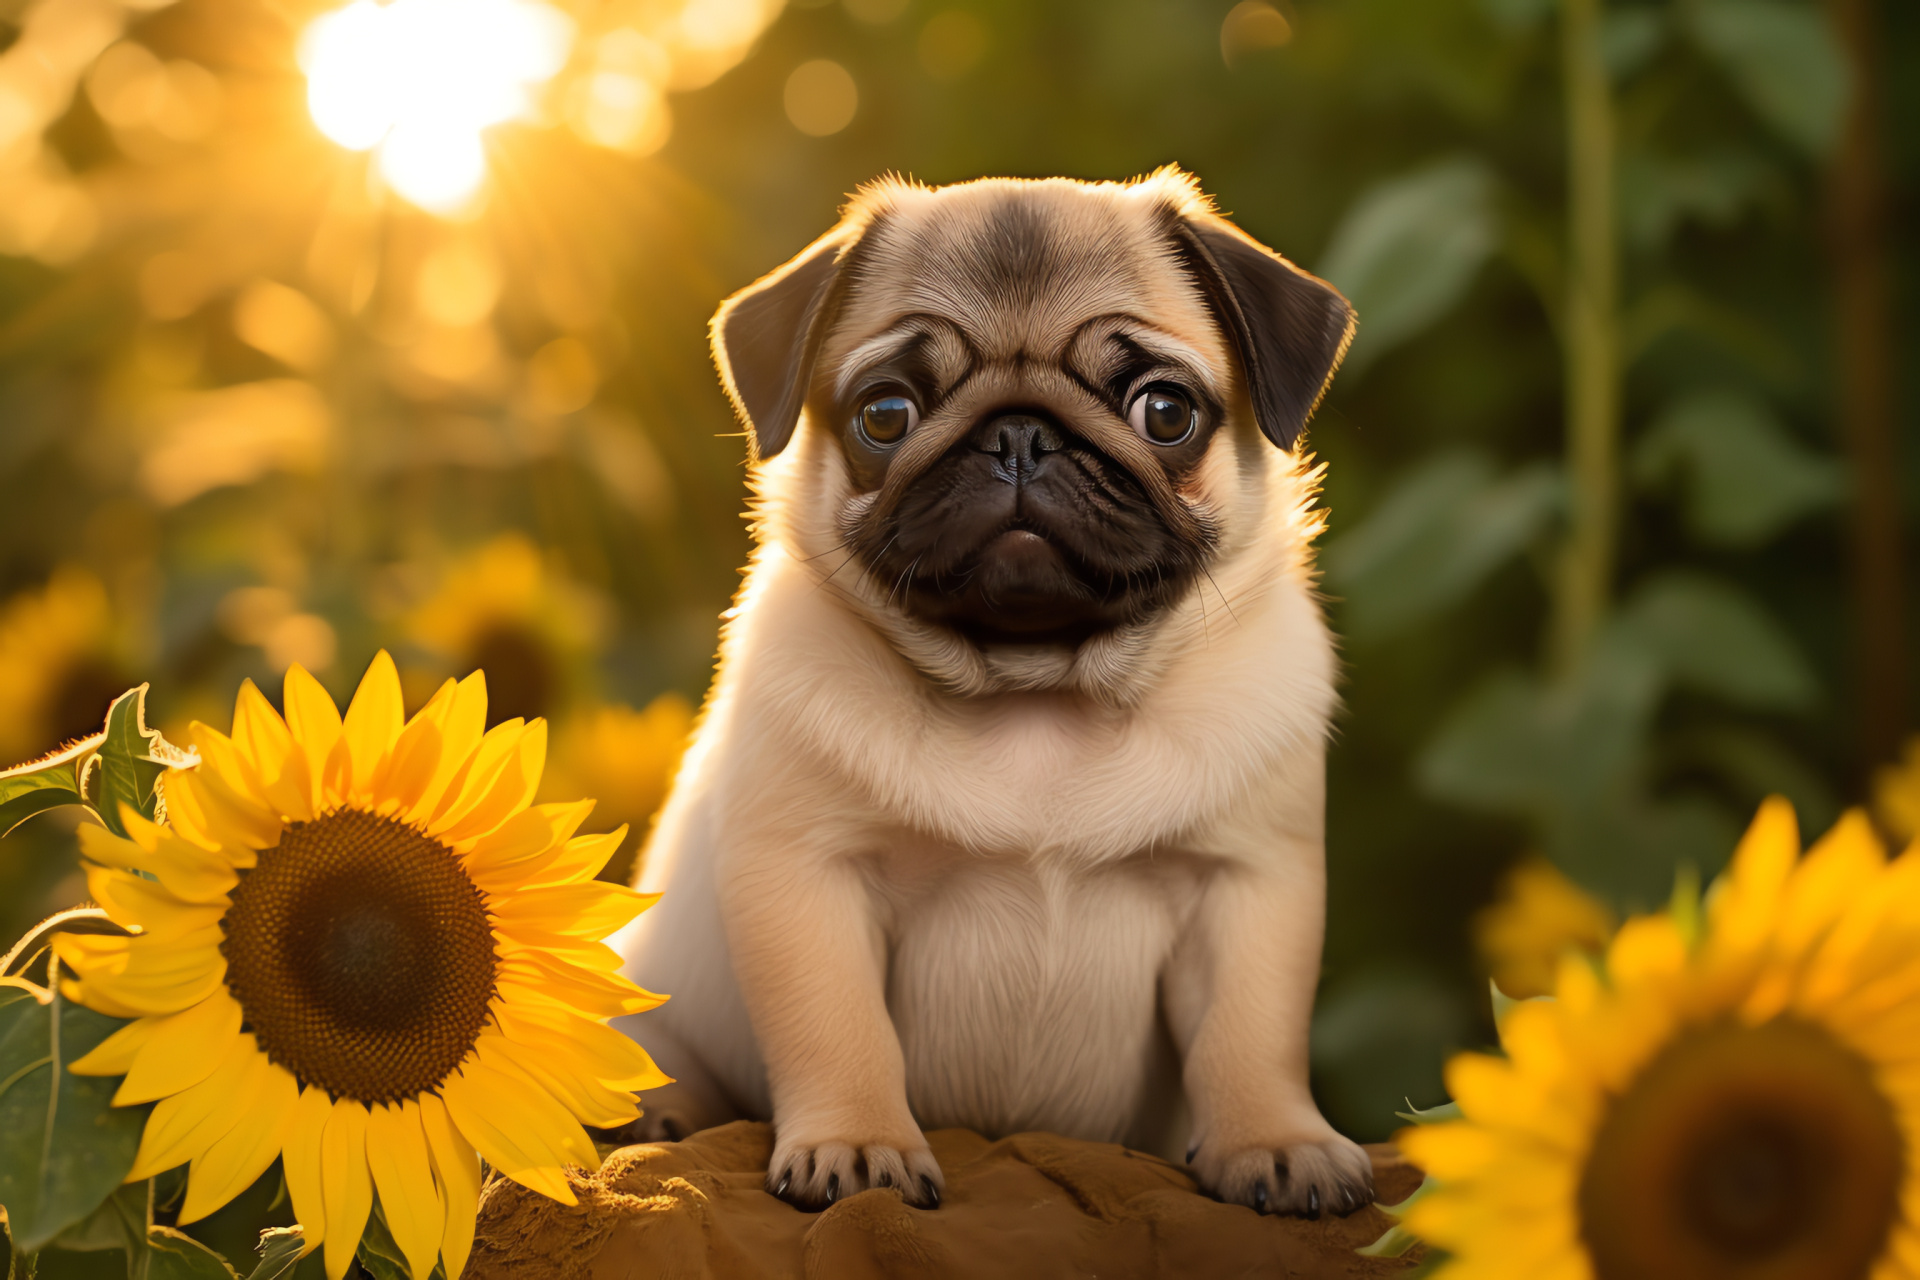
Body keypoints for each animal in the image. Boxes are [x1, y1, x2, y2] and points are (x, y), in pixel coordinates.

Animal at [614, 167, 1367, 1220]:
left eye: (1164, 412)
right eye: (885, 414)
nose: (1018, 434)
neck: (1036, 694)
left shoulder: (1246, 886)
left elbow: (1250, 1033)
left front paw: (1275, 1142)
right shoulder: (809, 879)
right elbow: (837, 1027)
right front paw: (860, 1146)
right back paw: (655, 1109)